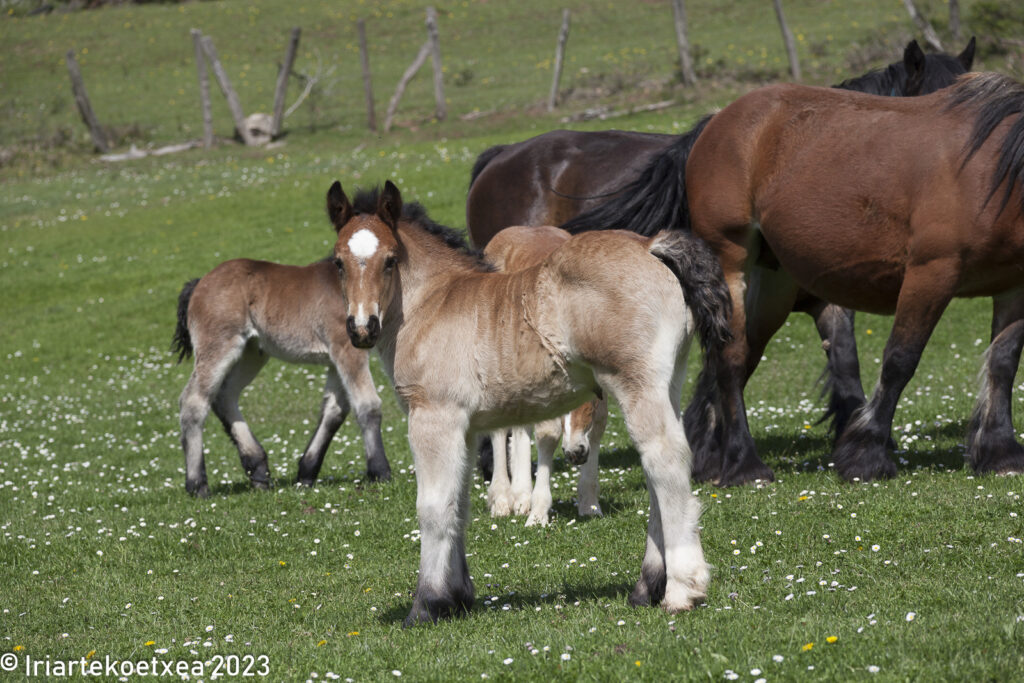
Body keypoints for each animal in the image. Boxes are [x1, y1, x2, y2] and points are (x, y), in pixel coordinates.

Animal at [172, 255, 387, 497]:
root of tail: (199, 283)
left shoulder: (336, 360)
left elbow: (334, 413)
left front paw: (306, 473)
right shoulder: (348, 350)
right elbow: (368, 405)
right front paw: (381, 473)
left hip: (251, 353)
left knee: (224, 396)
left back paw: (258, 471)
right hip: (218, 347)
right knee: (193, 402)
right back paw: (197, 485)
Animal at [481, 227, 606, 528]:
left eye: (589, 404)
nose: (575, 453)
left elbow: (597, 426)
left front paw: (590, 503)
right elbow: (547, 434)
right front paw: (538, 513)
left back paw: (520, 494)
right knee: (500, 429)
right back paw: (503, 499)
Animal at [679, 72, 1024, 483]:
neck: (995, 175)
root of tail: (718, 119)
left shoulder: (1015, 286)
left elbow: (1003, 361)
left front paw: (1001, 453)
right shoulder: (931, 273)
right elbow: (900, 360)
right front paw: (866, 455)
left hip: (771, 288)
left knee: (736, 357)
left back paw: (711, 457)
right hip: (731, 264)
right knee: (730, 358)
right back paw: (745, 464)